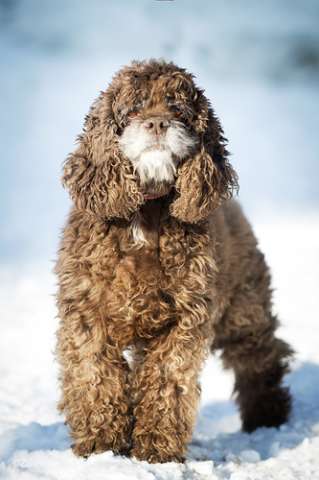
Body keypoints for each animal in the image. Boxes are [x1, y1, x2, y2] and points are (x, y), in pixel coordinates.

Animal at [54, 58, 292, 464]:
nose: (157, 124)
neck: (144, 213)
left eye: (178, 109)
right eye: (133, 109)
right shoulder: (87, 315)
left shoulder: (182, 320)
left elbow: (167, 382)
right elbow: (95, 378)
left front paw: (155, 449)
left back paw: (268, 414)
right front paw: (101, 445)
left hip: (244, 309)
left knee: (259, 355)